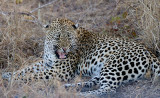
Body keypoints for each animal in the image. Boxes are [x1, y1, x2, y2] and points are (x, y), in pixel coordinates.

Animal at [2, 18, 160, 95]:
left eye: (69, 36)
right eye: (58, 36)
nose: (65, 48)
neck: (51, 52)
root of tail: (150, 53)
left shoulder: (60, 71)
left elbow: (33, 75)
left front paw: (11, 79)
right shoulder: (46, 63)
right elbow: (27, 69)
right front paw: (7, 74)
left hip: (113, 65)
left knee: (108, 89)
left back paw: (81, 94)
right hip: (102, 71)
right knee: (94, 83)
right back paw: (69, 87)